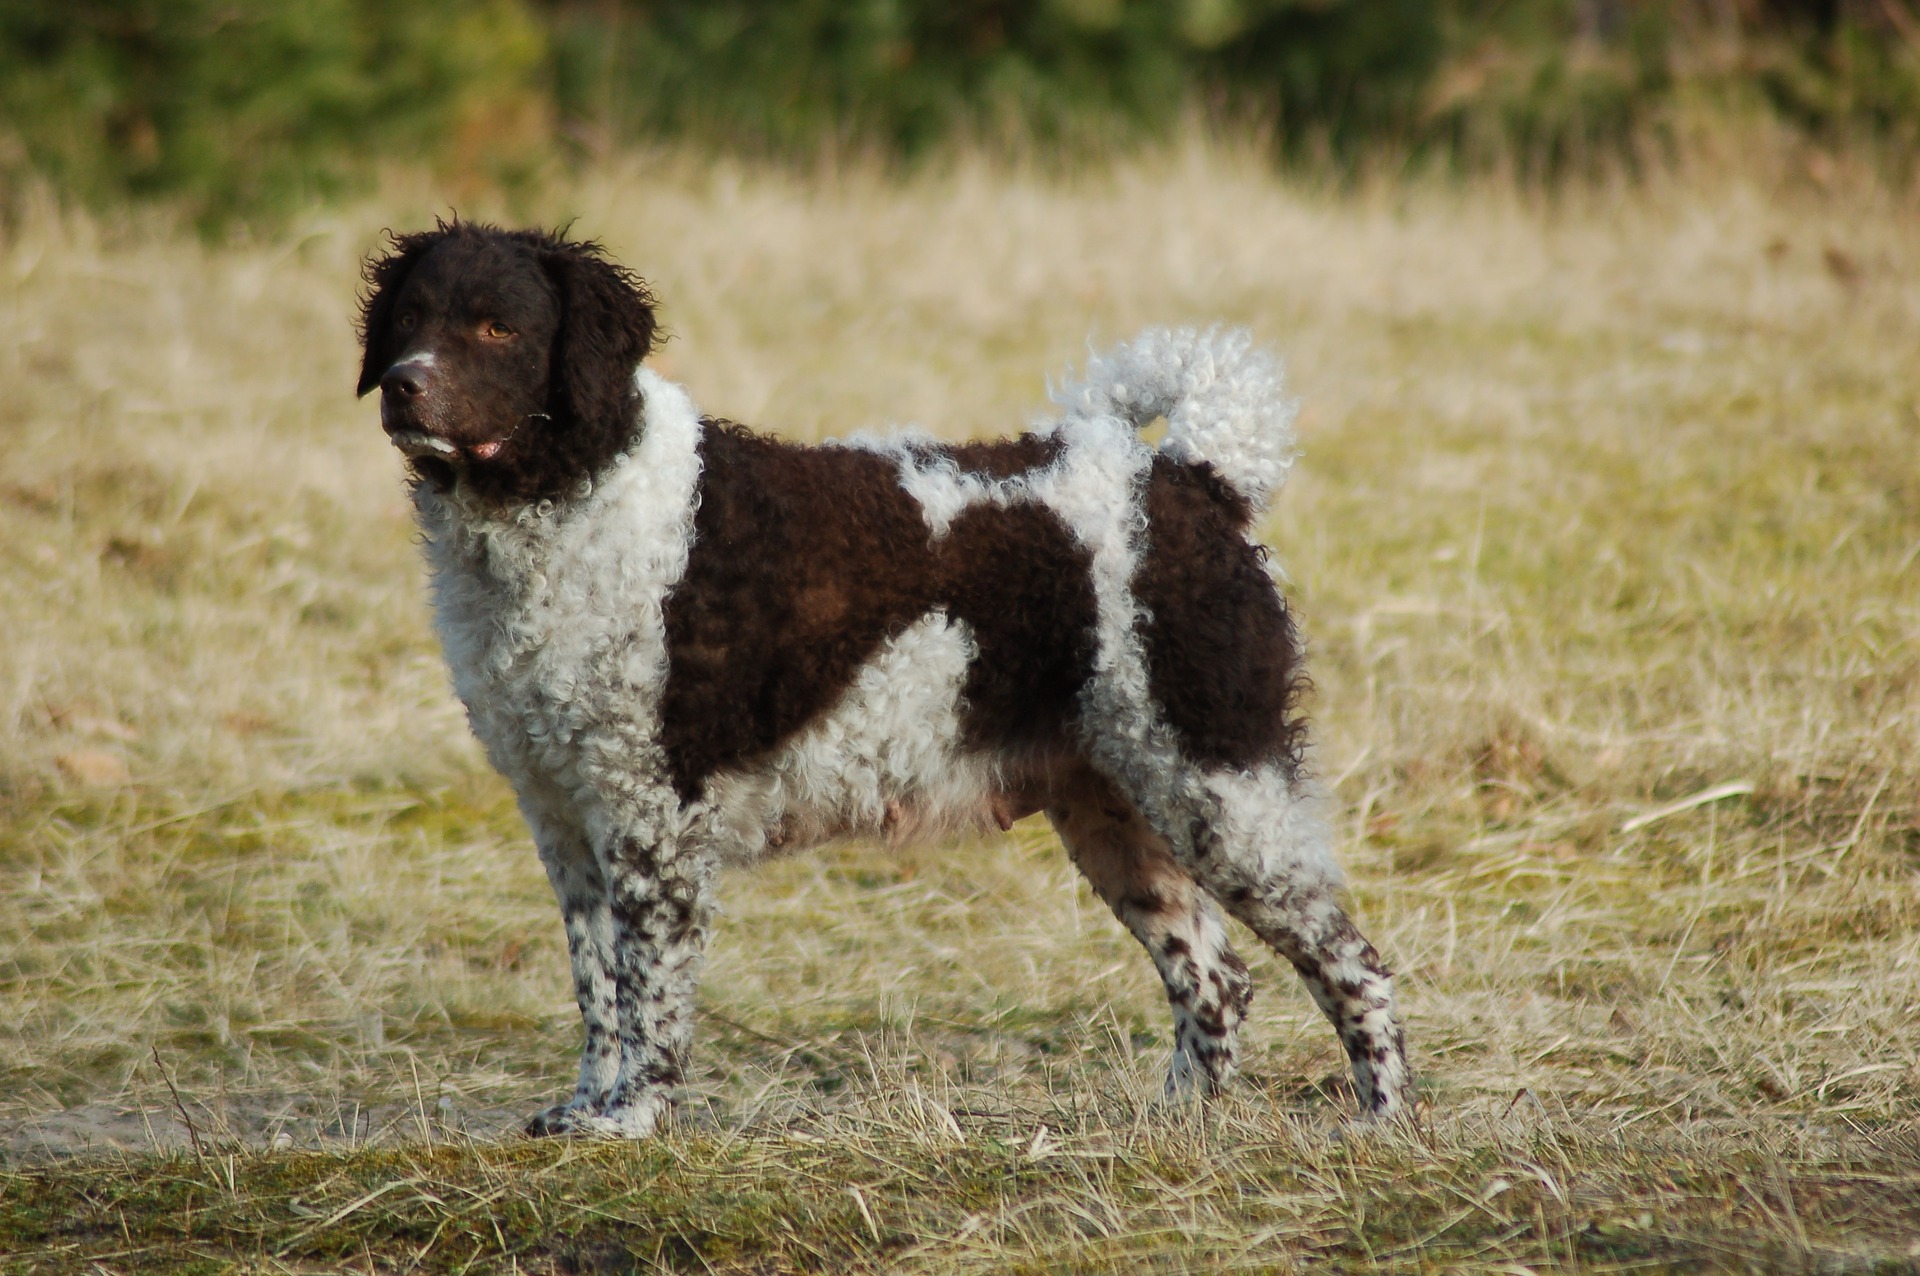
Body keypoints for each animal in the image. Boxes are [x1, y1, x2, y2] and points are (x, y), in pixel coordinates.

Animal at [357, 218, 1413, 1135]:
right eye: (409, 320)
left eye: (499, 325)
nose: (402, 388)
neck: (578, 490)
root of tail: (1195, 476)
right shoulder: (565, 817)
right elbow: (599, 992)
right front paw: (586, 1111)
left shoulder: (651, 816)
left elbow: (649, 997)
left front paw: (632, 1122)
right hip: (1119, 810)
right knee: (1216, 982)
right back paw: (1172, 1130)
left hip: (1220, 791)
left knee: (1351, 962)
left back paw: (1386, 1125)